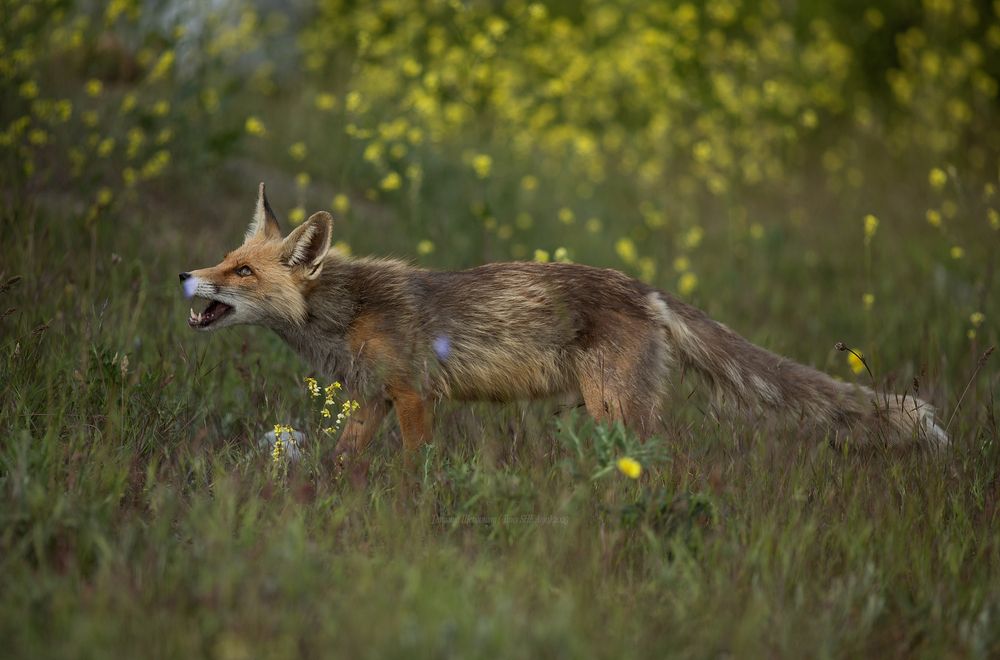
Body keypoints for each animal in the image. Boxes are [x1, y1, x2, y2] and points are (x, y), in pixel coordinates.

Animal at [180, 183, 948, 464]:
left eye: (242, 272)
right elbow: (344, 460)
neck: (347, 311)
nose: (187, 275)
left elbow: (415, 468)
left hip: (618, 410)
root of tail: (643, 287)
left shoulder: (414, 395)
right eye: (224, 260)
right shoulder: (373, 398)